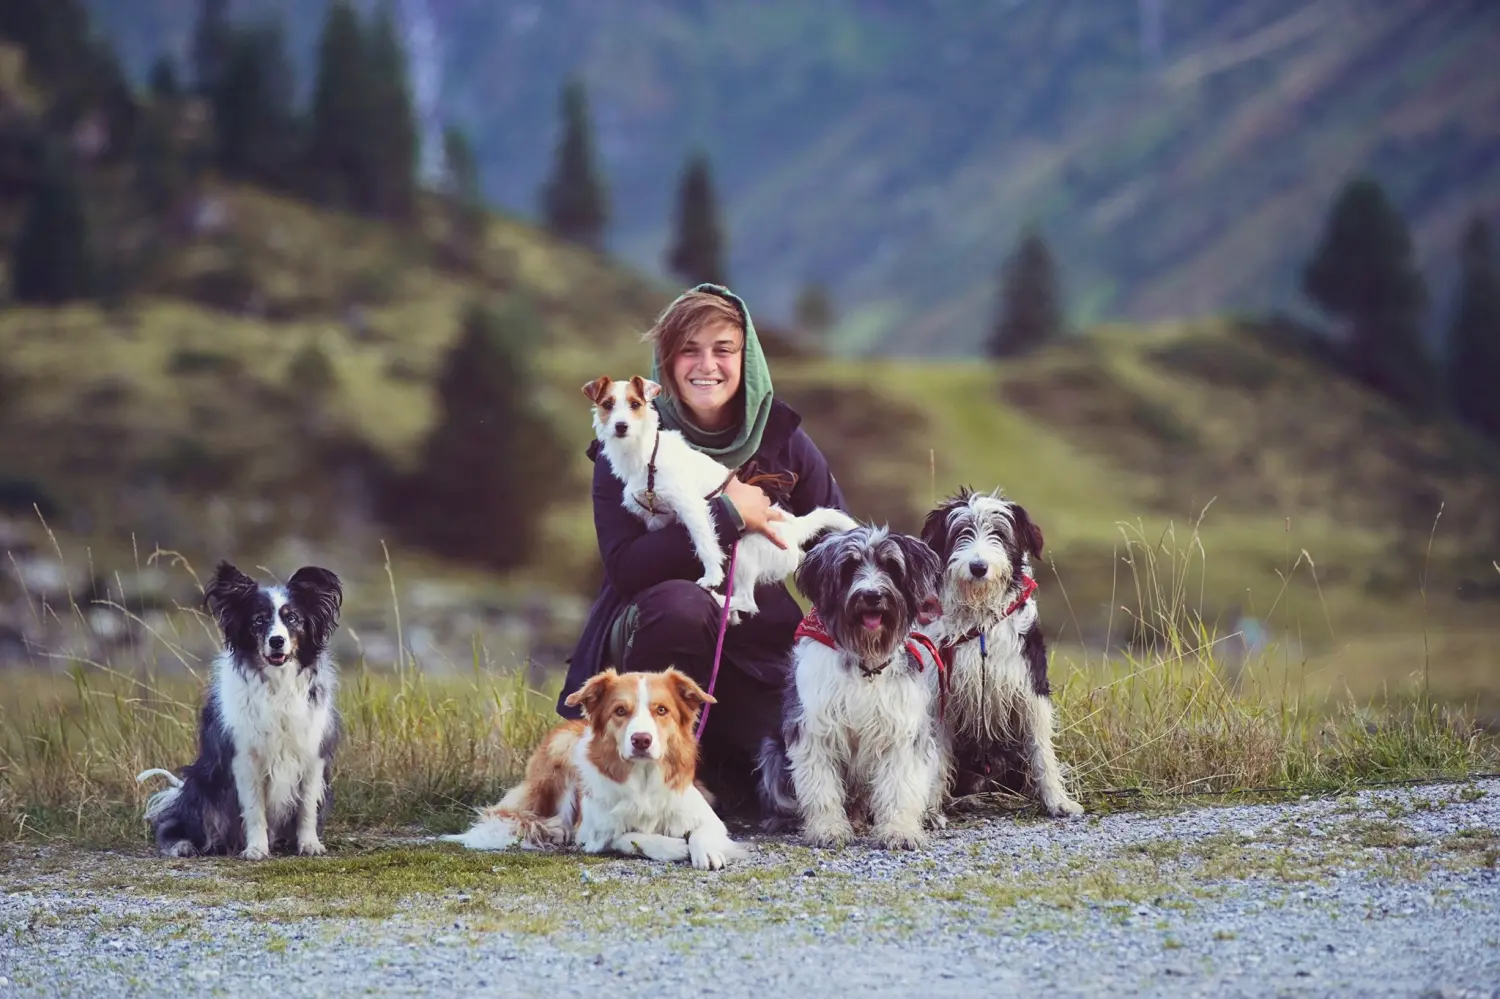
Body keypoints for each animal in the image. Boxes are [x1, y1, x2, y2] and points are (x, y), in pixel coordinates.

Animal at [137, 561, 343, 858]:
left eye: (292, 619)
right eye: (258, 620)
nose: (277, 641)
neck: (276, 683)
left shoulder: (312, 754)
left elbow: (306, 808)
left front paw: (309, 844)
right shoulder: (244, 758)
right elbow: (254, 810)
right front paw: (256, 849)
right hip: (203, 785)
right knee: (177, 824)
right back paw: (183, 845)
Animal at [441, 666, 750, 870]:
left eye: (661, 710)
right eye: (620, 711)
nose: (641, 740)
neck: (643, 779)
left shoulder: (706, 816)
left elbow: (703, 831)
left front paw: (706, 851)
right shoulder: (594, 833)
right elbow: (630, 837)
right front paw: (671, 846)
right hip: (561, 751)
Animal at [756, 522, 942, 846]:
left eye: (890, 566)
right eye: (849, 567)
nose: (872, 595)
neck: (865, 662)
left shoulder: (902, 731)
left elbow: (900, 786)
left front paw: (900, 830)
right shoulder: (814, 729)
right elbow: (821, 787)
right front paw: (828, 829)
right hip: (772, 755)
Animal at [918, 483, 1086, 816]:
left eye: (999, 533)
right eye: (962, 532)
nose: (978, 567)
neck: (981, 621)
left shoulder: (1030, 687)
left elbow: (1042, 750)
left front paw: (1057, 800)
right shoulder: (942, 694)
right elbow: (937, 759)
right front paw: (930, 809)